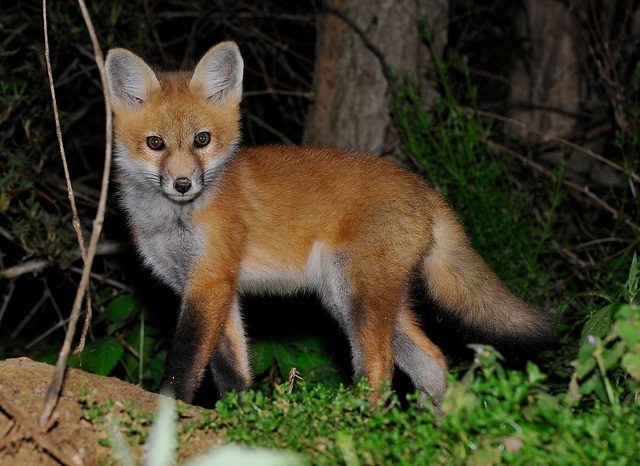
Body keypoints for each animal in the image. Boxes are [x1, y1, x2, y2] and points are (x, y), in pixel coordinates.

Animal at [105, 41, 556, 408]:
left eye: (202, 140)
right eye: (155, 143)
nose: (183, 184)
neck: (172, 221)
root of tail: (425, 188)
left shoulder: (210, 279)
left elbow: (184, 361)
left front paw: (167, 411)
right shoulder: (209, 287)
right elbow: (230, 369)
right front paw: (241, 420)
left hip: (355, 293)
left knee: (380, 366)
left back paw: (360, 421)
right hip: (352, 297)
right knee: (431, 360)